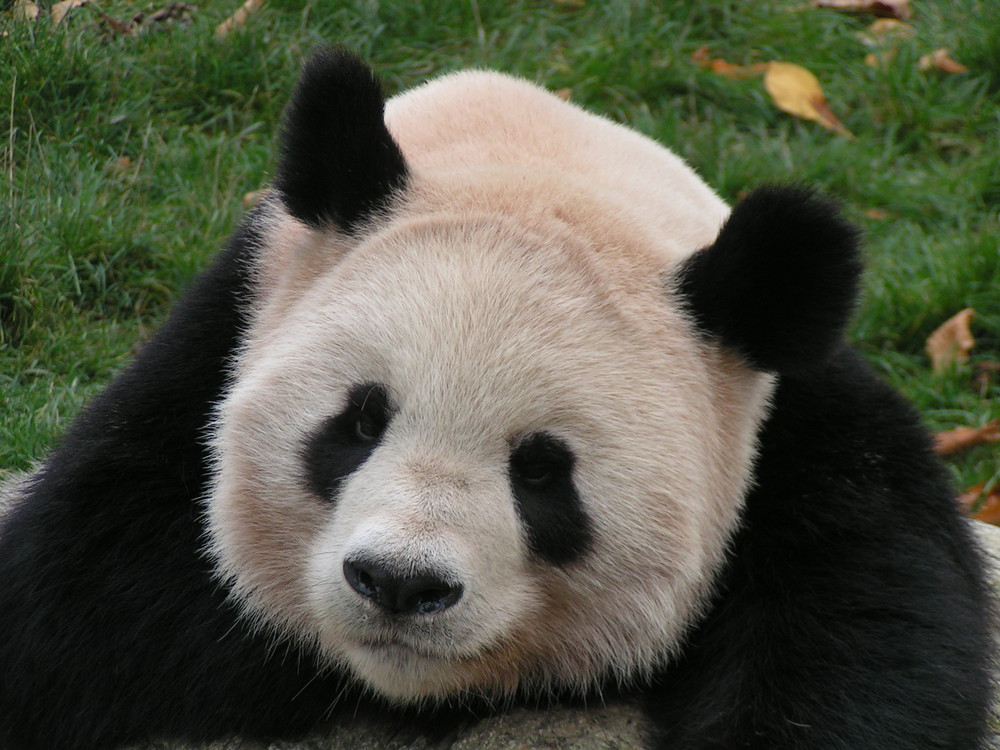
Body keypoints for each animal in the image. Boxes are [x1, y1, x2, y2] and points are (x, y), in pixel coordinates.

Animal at [0, 45, 992, 750]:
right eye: (359, 422)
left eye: (544, 471)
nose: (400, 584)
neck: (550, 164)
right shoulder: (220, 337)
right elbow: (86, 595)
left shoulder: (803, 444)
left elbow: (862, 651)